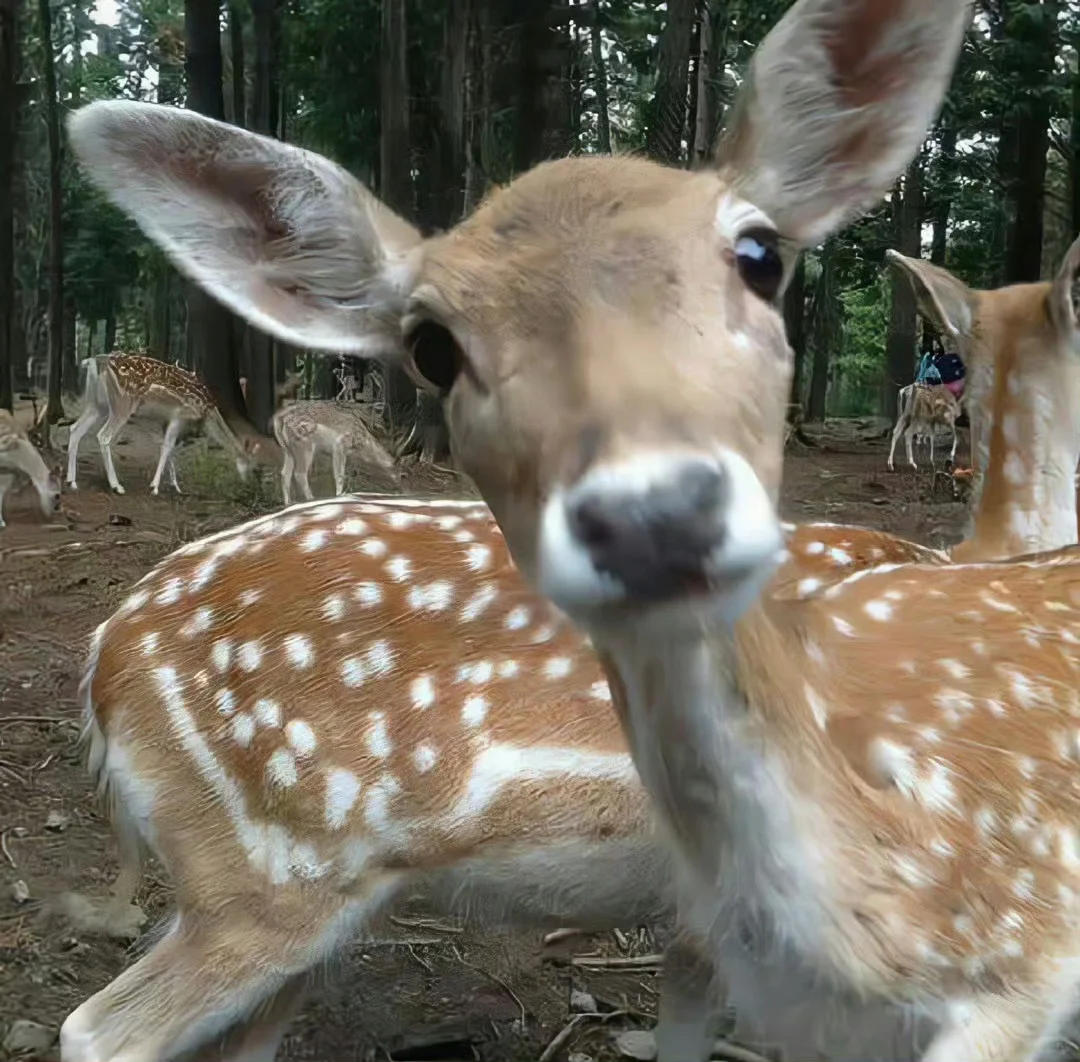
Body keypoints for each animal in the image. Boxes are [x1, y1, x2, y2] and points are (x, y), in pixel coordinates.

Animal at [68, 350, 260, 496]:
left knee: (75, 428)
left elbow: (166, 446)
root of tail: (96, 361)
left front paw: (176, 486)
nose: (250, 486)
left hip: (97, 404)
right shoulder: (180, 415)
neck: (209, 412)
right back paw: (117, 486)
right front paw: (155, 487)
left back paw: (72, 481)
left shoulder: (161, 420)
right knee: (103, 436)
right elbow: (168, 446)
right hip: (122, 404)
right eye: (254, 467)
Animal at [270, 397, 401, 505]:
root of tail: (280, 419)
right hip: (304, 447)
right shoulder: (339, 446)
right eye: (403, 474)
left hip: (288, 450)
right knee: (299, 473)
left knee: (284, 473)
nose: (400, 488)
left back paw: (288, 503)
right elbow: (339, 476)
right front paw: (339, 495)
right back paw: (311, 499)